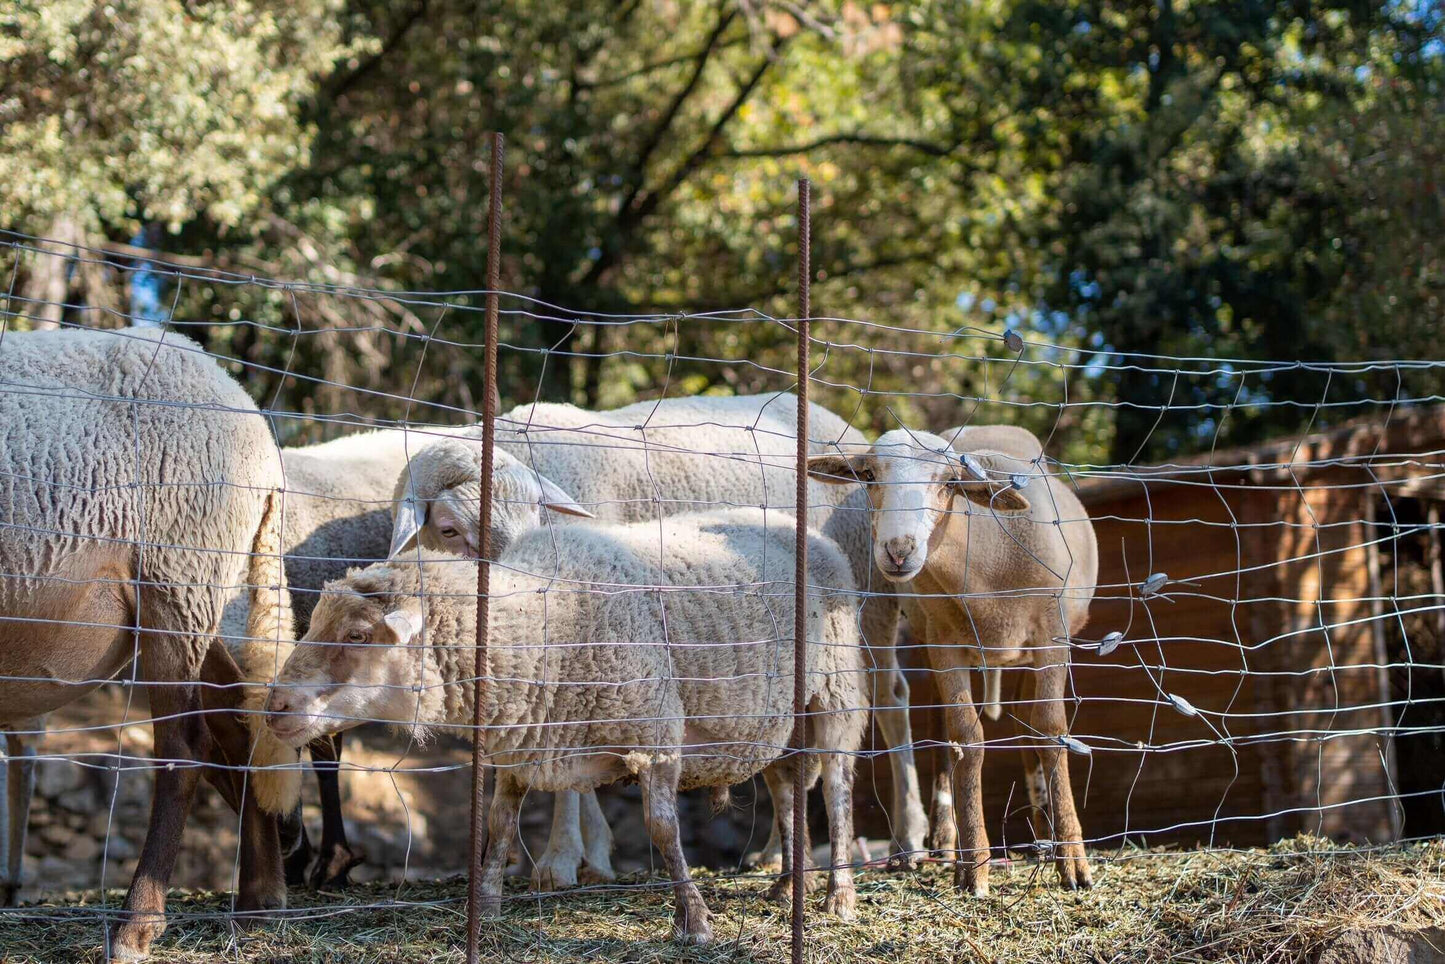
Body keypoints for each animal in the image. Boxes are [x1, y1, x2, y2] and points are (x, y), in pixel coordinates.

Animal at [0, 326, 296, 959]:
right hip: (193, 598)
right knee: (238, 722)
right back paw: (261, 898)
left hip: (176, 580)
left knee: (185, 748)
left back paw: (136, 926)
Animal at [262, 511, 867, 942]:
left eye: (358, 636)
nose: (276, 708)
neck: (543, 624)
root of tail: (810, 532)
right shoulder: (518, 740)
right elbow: (500, 825)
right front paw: (486, 906)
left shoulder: (655, 732)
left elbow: (662, 830)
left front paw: (694, 921)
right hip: (783, 720)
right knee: (788, 789)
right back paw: (788, 884)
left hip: (835, 693)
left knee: (836, 790)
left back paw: (838, 895)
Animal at [384, 393, 924, 872]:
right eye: (449, 530)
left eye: (537, 512)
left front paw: (564, 859)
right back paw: (780, 854)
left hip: (866, 602)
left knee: (890, 699)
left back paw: (906, 839)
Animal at [809, 424, 1098, 896]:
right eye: (868, 475)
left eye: (948, 482)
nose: (899, 550)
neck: (986, 567)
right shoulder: (944, 639)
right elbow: (966, 736)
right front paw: (973, 866)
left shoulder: (1051, 634)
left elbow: (1051, 730)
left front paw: (1073, 859)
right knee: (944, 725)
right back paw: (948, 840)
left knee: (1028, 722)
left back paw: (1045, 835)